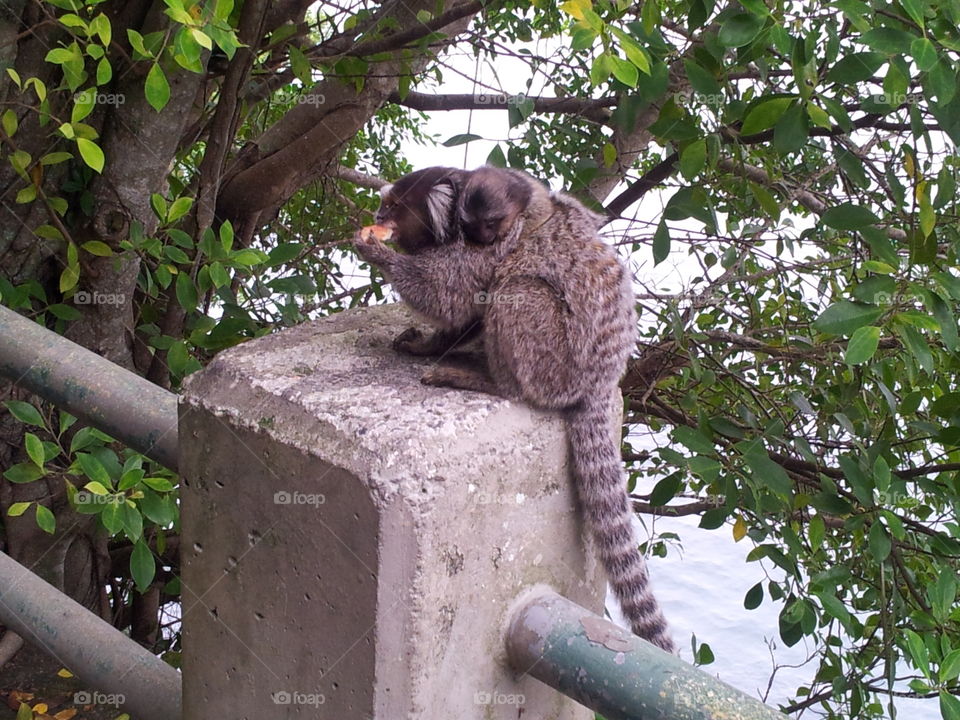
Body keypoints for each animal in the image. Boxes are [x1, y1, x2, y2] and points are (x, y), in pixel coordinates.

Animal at [354, 167, 676, 652]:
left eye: (392, 208)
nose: (376, 218)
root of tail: (600, 381)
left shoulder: (486, 252)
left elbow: (452, 294)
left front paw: (377, 252)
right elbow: (464, 316)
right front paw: (424, 345)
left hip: (556, 366)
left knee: (517, 291)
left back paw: (486, 379)